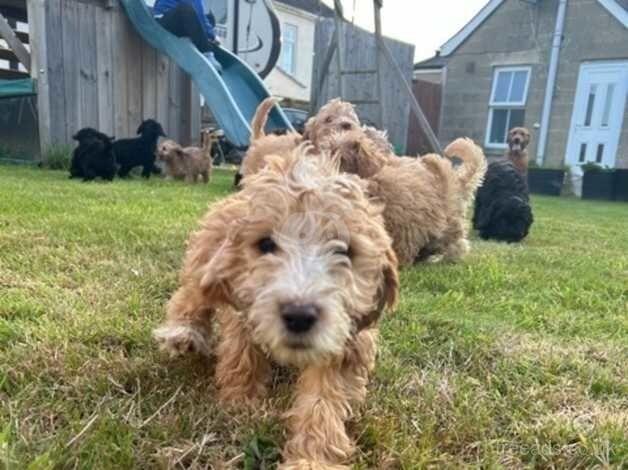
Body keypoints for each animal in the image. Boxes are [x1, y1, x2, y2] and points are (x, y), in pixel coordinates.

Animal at [153, 147, 398, 470]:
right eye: (266, 244)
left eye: (344, 251)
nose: (299, 316)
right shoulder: (244, 308)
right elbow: (242, 354)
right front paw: (241, 401)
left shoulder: (348, 339)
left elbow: (324, 400)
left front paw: (311, 459)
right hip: (207, 256)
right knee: (193, 294)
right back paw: (184, 331)